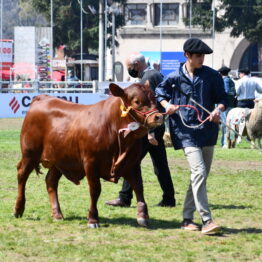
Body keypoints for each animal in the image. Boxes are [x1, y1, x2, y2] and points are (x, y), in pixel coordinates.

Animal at [14, 82, 163, 227]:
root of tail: (42, 98)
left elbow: (138, 186)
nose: (159, 116)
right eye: (137, 101)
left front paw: (143, 215)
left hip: (59, 159)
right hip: (30, 154)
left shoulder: (132, 162)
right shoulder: (91, 163)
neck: (112, 127)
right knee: (22, 174)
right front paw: (93, 219)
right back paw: (18, 209)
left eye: (154, 98)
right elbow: (95, 189)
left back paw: (57, 214)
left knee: (51, 181)